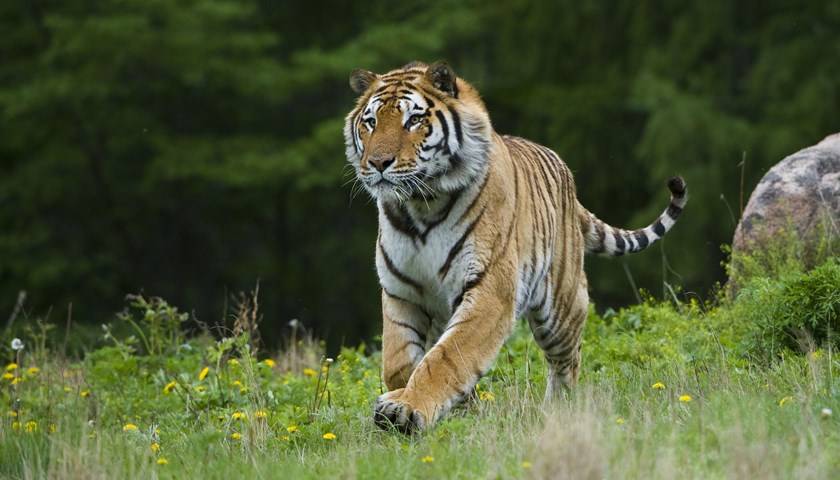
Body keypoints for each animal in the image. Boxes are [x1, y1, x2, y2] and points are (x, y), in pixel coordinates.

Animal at [344, 62, 684, 434]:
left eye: (414, 120)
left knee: (567, 364)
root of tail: (569, 180)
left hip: (561, 307)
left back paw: (559, 412)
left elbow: (446, 358)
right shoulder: (401, 292)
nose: (378, 163)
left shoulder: (490, 290)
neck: (420, 206)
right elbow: (398, 362)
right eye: (371, 121)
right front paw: (419, 399)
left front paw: (408, 408)